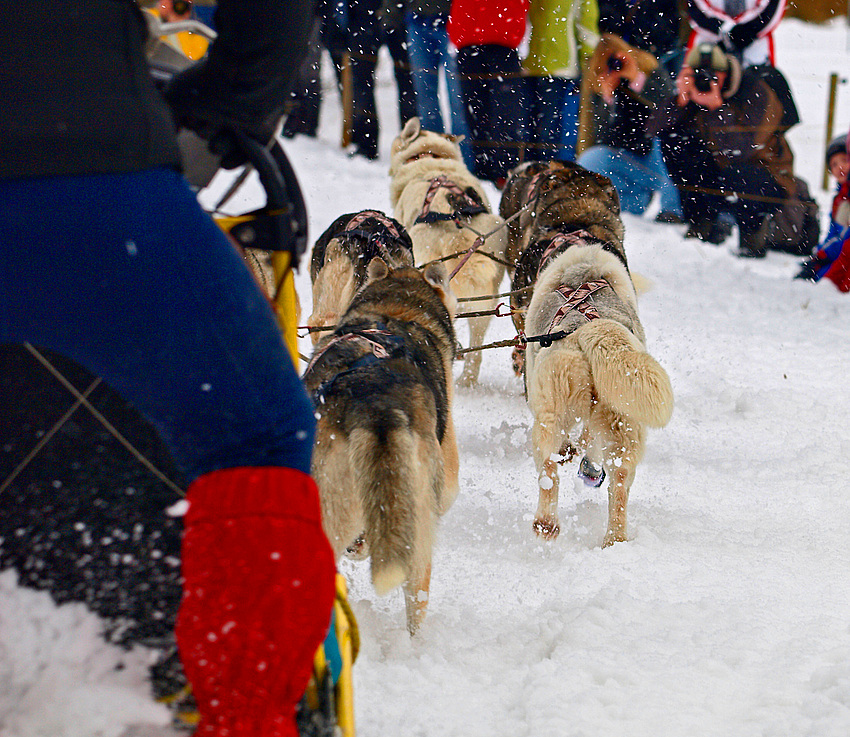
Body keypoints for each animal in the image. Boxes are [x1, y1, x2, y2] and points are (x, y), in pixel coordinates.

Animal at [496, 160, 668, 548]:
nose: (513, 173)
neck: (577, 226)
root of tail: (592, 329)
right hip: (624, 427)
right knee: (618, 486)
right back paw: (613, 539)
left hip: (550, 412)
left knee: (550, 468)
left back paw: (545, 523)